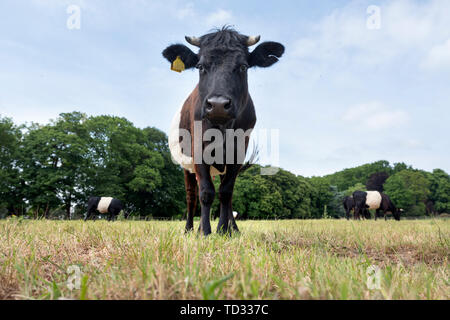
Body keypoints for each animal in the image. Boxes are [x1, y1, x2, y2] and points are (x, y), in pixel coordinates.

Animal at [163, 26, 284, 235]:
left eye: (243, 66)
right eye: (200, 67)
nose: (218, 105)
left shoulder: (238, 152)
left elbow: (226, 193)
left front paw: (224, 230)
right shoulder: (198, 150)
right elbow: (205, 192)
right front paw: (205, 232)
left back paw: (232, 228)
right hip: (186, 166)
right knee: (191, 196)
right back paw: (189, 229)